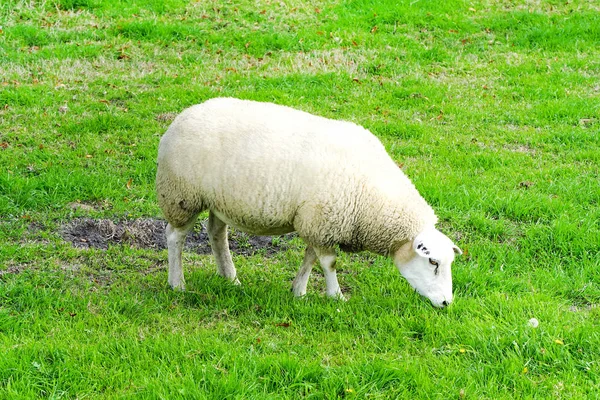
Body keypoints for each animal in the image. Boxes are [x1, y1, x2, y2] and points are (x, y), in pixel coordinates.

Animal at [157, 98, 462, 308]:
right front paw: (336, 296)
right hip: (181, 195)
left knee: (217, 234)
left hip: (219, 199)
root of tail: (183, 115)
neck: (375, 201)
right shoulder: (322, 220)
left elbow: (310, 258)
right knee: (175, 236)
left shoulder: (318, 223)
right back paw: (177, 283)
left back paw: (230, 277)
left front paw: (299, 292)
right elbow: (329, 263)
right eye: (433, 261)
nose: (446, 303)